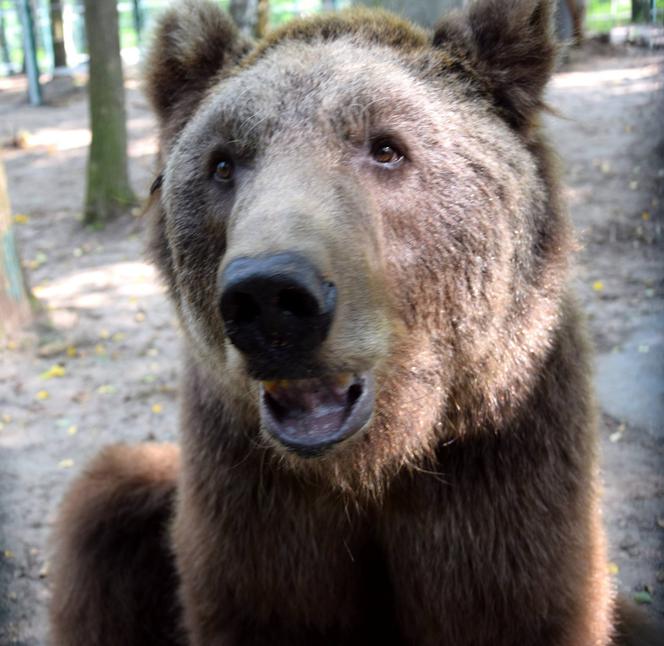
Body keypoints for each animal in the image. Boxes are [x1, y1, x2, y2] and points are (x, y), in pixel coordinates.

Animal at [46, 1, 660, 646]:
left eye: (386, 148)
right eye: (223, 162)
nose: (270, 296)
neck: (371, 467)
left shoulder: (502, 463)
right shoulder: (249, 498)